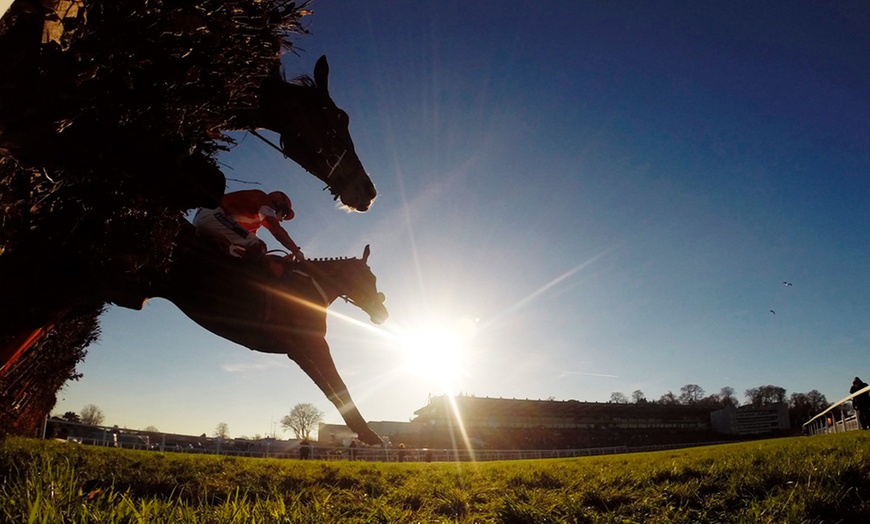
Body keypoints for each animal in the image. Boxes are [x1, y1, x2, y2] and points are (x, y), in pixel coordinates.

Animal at [155, 235, 390, 444]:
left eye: (374, 280)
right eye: (367, 279)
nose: (383, 313)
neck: (307, 288)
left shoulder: (297, 350)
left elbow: (330, 387)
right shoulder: (310, 344)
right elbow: (337, 386)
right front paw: (368, 433)